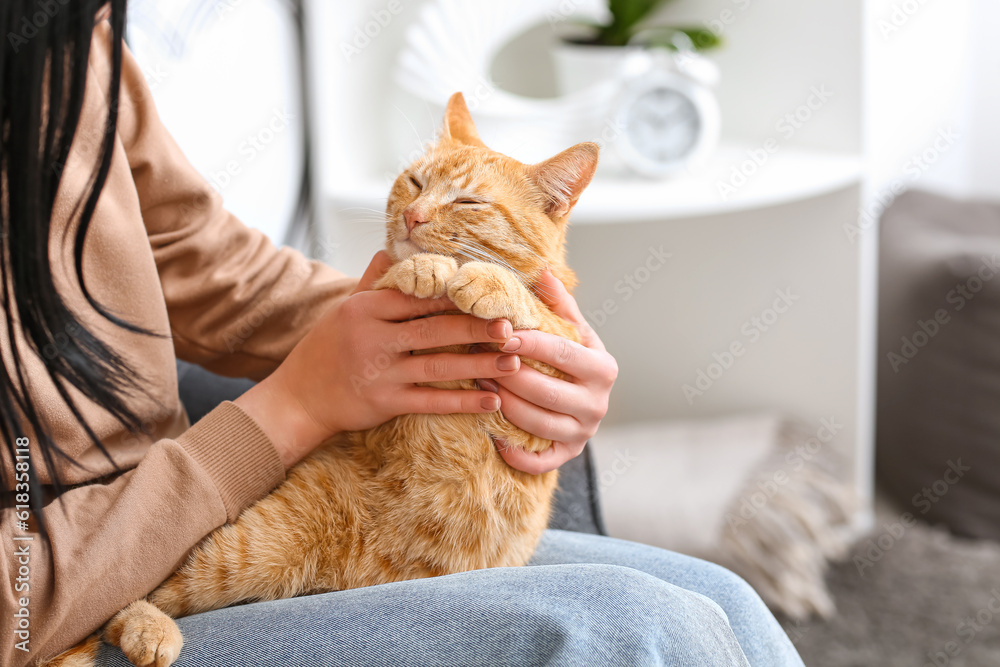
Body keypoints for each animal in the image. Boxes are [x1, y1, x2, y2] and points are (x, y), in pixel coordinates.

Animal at [47, 94, 596, 667]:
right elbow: (384, 278)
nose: (413, 215)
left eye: (468, 201)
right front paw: (424, 269)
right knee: (123, 602)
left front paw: (489, 281)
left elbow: (539, 311)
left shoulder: (541, 405)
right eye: (415, 182)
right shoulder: (364, 305)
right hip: (242, 548)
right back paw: (146, 628)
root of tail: (357, 577)